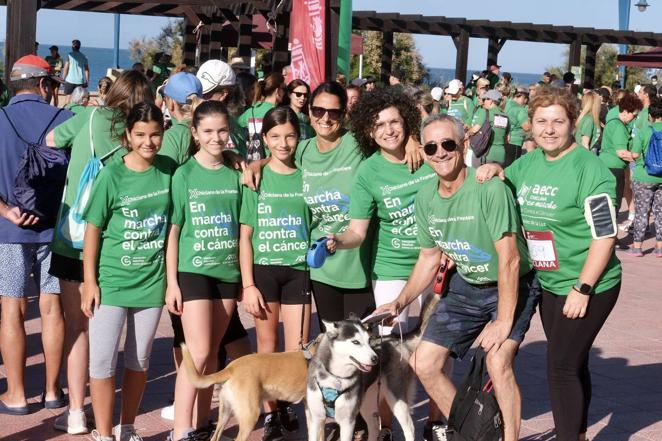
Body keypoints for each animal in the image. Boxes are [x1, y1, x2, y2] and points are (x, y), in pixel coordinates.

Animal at [308, 292, 440, 440]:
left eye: (369, 340)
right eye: (355, 342)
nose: (376, 359)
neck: (335, 377)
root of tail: (397, 338)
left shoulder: (347, 421)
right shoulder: (315, 419)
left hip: (396, 398)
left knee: (409, 428)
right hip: (366, 402)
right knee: (374, 428)